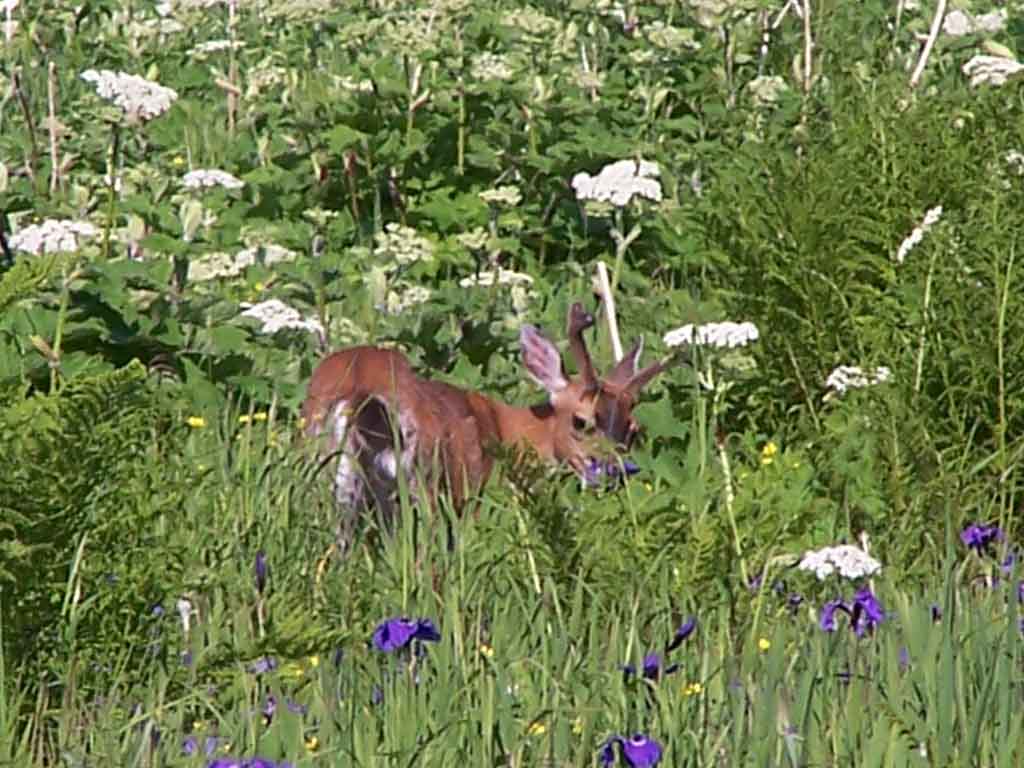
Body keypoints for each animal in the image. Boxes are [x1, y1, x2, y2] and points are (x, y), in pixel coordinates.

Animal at [299, 303, 675, 540]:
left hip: (328, 474)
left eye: (633, 429)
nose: (613, 472)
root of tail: (359, 390)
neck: (508, 428)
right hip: (426, 480)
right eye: (581, 421)